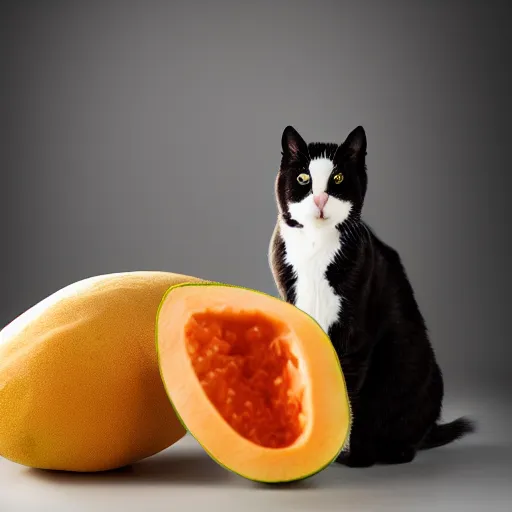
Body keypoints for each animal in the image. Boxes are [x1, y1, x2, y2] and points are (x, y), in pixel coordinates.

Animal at [270, 125, 474, 468]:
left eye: (338, 178)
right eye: (303, 178)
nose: (320, 198)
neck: (315, 248)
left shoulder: (355, 335)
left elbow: (349, 395)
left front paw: (345, 453)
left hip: (424, 374)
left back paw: (390, 451)